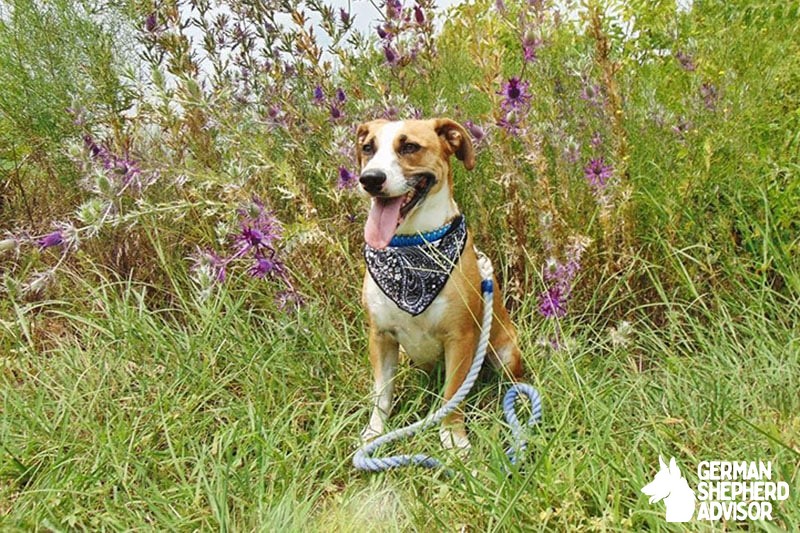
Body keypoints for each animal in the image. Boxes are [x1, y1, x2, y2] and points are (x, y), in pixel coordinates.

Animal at [358, 117, 524, 448]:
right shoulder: (380, 337)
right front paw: (374, 433)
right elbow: (381, 395)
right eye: (368, 147)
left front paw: (453, 439)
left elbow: (452, 397)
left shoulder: (459, 339)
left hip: (505, 350)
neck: (411, 247)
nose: (370, 179)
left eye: (409, 147)